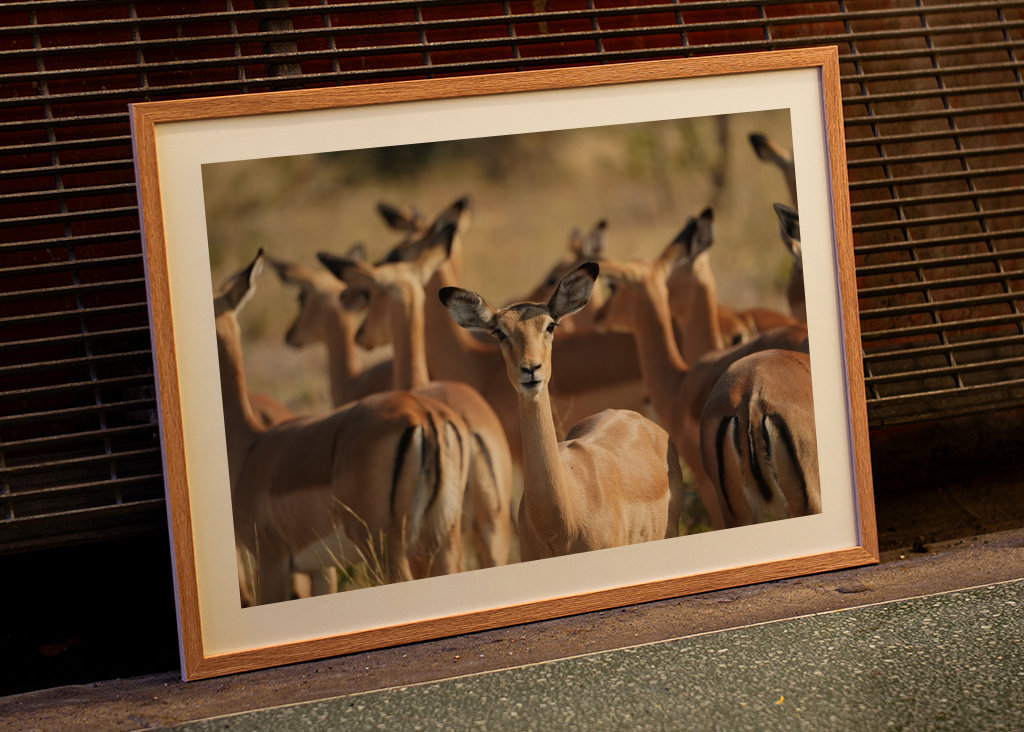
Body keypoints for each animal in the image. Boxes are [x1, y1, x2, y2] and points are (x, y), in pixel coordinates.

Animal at [216, 250, 470, 604]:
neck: (250, 447)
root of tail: (424, 414)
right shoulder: (321, 569)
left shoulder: (271, 561)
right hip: (443, 537)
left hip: (386, 547)